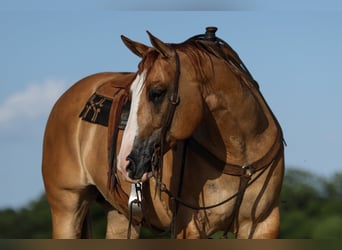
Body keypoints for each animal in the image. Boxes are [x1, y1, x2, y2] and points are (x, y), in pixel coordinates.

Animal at [41, 27, 284, 238]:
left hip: (120, 216)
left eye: (157, 92)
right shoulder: (190, 226)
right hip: (68, 208)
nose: (125, 162)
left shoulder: (262, 224)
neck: (242, 154)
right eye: (130, 94)